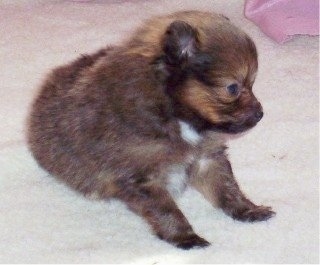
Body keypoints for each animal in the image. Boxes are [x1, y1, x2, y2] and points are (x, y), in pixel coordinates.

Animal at [27, 10, 276, 250]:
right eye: (232, 88)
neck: (176, 115)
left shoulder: (208, 158)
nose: (260, 113)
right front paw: (185, 236)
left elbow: (227, 188)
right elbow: (168, 211)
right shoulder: (144, 179)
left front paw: (247, 210)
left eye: (251, 84)